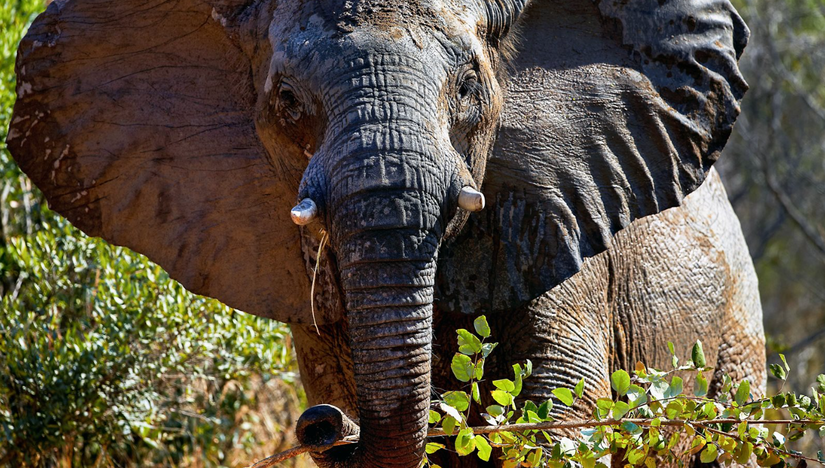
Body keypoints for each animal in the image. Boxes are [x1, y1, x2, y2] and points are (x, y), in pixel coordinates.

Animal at [8, 0, 768, 466]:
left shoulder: (556, 218)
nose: (323, 423)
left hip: (738, 345)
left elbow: (560, 406)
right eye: (286, 100)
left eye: (468, 87)